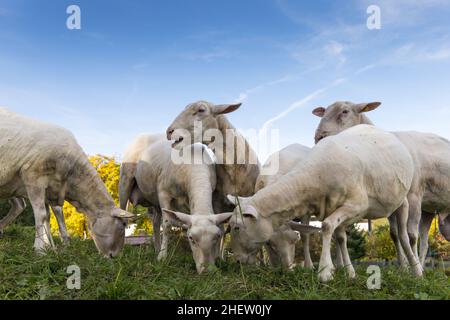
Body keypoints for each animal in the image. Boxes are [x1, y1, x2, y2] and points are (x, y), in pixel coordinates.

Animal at [0, 109, 134, 256]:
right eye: (122, 226)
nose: (114, 256)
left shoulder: (51, 189)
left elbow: (50, 217)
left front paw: (54, 247)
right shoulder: (33, 177)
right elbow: (41, 215)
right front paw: (40, 250)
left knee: (18, 205)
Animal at [119, 134, 232, 272]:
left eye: (216, 237)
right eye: (191, 238)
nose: (206, 270)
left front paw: (219, 258)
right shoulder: (164, 193)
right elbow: (167, 225)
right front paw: (162, 257)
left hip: (155, 200)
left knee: (155, 222)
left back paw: (157, 248)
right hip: (125, 180)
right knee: (122, 215)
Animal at [229, 125, 422, 282]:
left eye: (236, 227)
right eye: (269, 243)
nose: (237, 260)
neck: (315, 176)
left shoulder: (356, 204)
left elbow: (327, 226)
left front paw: (325, 271)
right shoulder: (335, 208)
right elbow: (340, 237)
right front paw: (349, 273)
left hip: (402, 201)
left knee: (403, 235)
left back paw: (416, 269)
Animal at [312, 101, 450, 266]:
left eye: (345, 111)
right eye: (324, 112)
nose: (318, 137)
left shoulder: (414, 195)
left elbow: (411, 235)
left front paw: (412, 266)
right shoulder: (392, 201)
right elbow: (395, 234)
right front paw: (403, 267)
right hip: (430, 210)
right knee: (425, 242)